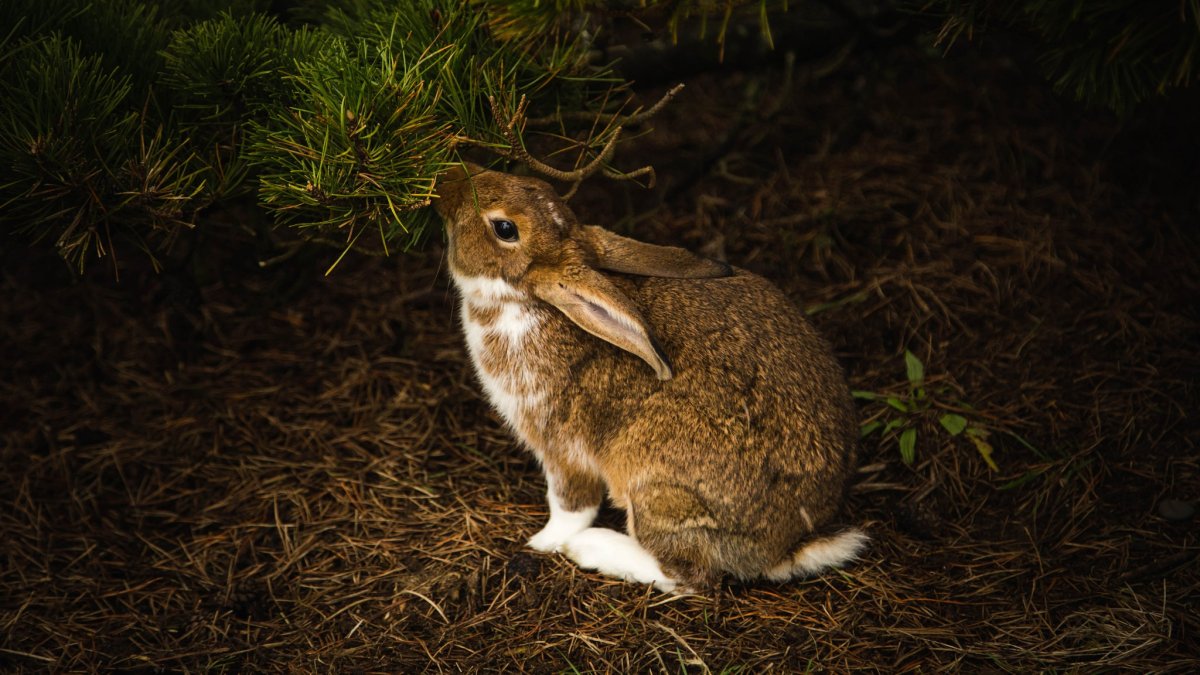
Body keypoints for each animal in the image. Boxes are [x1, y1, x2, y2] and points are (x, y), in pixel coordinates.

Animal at [433, 163, 867, 592]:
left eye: (504, 228)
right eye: (534, 182)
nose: (451, 180)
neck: (526, 301)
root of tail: (786, 548)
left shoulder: (561, 445)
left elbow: (571, 506)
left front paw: (542, 542)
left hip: (657, 491)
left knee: (689, 575)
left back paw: (594, 548)